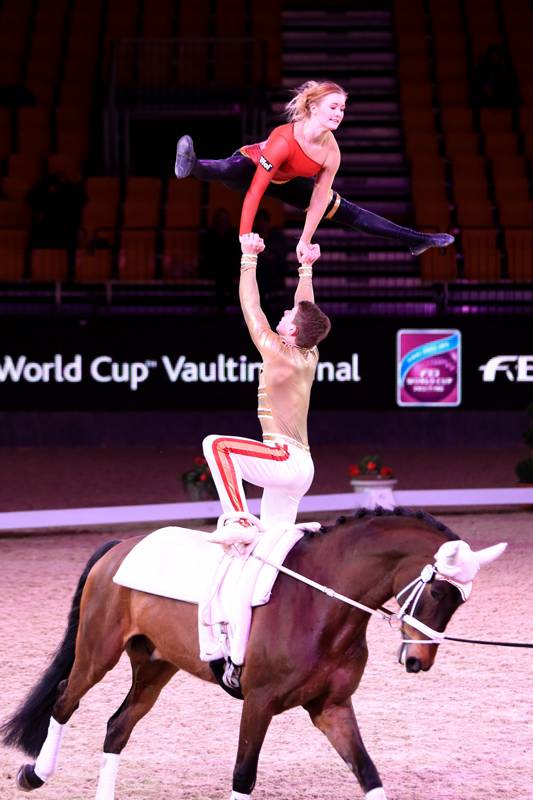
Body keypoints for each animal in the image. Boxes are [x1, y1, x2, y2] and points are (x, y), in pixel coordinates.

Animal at [0, 510, 504, 796]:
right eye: (437, 591)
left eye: (461, 601)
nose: (418, 661)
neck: (321, 605)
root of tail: (121, 545)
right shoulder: (258, 703)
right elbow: (243, 776)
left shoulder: (331, 707)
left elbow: (368, 773)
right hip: (98, 651)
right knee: (65, 700)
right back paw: (34, 775)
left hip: (155, 665)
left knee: (118, 725)